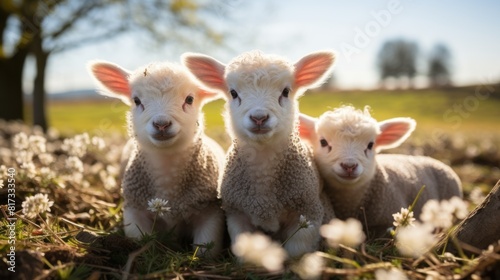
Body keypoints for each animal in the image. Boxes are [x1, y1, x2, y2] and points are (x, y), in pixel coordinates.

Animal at [88, 60, 225, 255]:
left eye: (189, 99)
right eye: (137, 100)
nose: (161, 124)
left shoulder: (210, 211)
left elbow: (206, 249)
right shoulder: (134, 210)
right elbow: (140, 241)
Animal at [183, 49, 336, 256]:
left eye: (285, 91)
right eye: (233, 93)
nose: (259, 118)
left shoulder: (308, 212)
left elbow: (297, 252)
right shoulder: (237, 213)